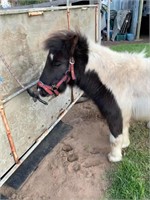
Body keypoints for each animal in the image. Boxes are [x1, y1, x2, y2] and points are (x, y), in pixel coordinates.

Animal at [35, 30, 149, 162]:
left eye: (57, 63)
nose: (40, 90)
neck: (113, 79)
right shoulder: (123, 113)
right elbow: (124, 130)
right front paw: (125, 145)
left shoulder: (115, 114)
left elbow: (115, 138)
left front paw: (114, 157)